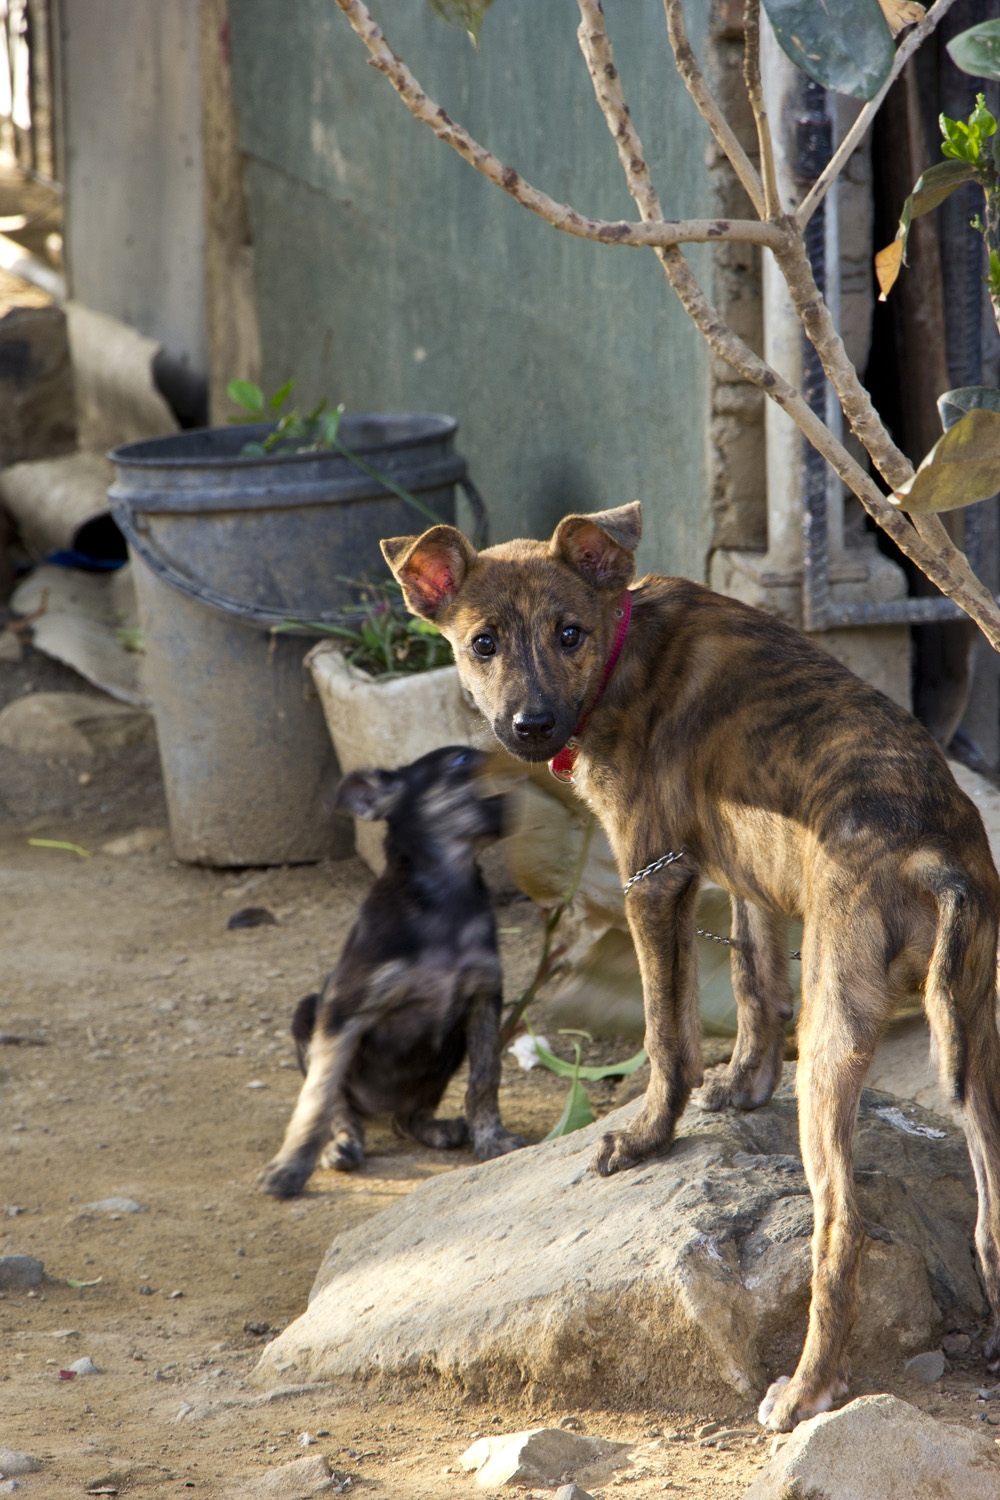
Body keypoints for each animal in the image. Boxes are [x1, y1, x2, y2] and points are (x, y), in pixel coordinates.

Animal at [257, 744, 524, 1200]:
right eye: (459, 761)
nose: (516, 754)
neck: (444, 901)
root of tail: (379, 1108)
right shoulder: (344, 1013)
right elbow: (317, 1097)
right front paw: (289, 1169)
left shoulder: (484, 997)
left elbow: (486, 1076)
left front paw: (492, 1138)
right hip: (307, 1015)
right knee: (342, 1109)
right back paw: (341, 1144)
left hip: (447, 1053)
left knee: (407, 1117)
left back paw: (436, 1127)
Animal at [379, 501, 1000, 1428]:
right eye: (483, 643)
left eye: (568, 633)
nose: (531, 728)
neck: (622, 648)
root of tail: (932, 858)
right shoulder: (748, 876)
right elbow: (752, 983)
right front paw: (742, 1085)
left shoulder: (652, 877)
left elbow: (665, 1037)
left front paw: (646, 1136)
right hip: (973, 1032)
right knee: (991, 1210)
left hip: (835, 1034)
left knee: (841, 1225)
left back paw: (807, 1387)